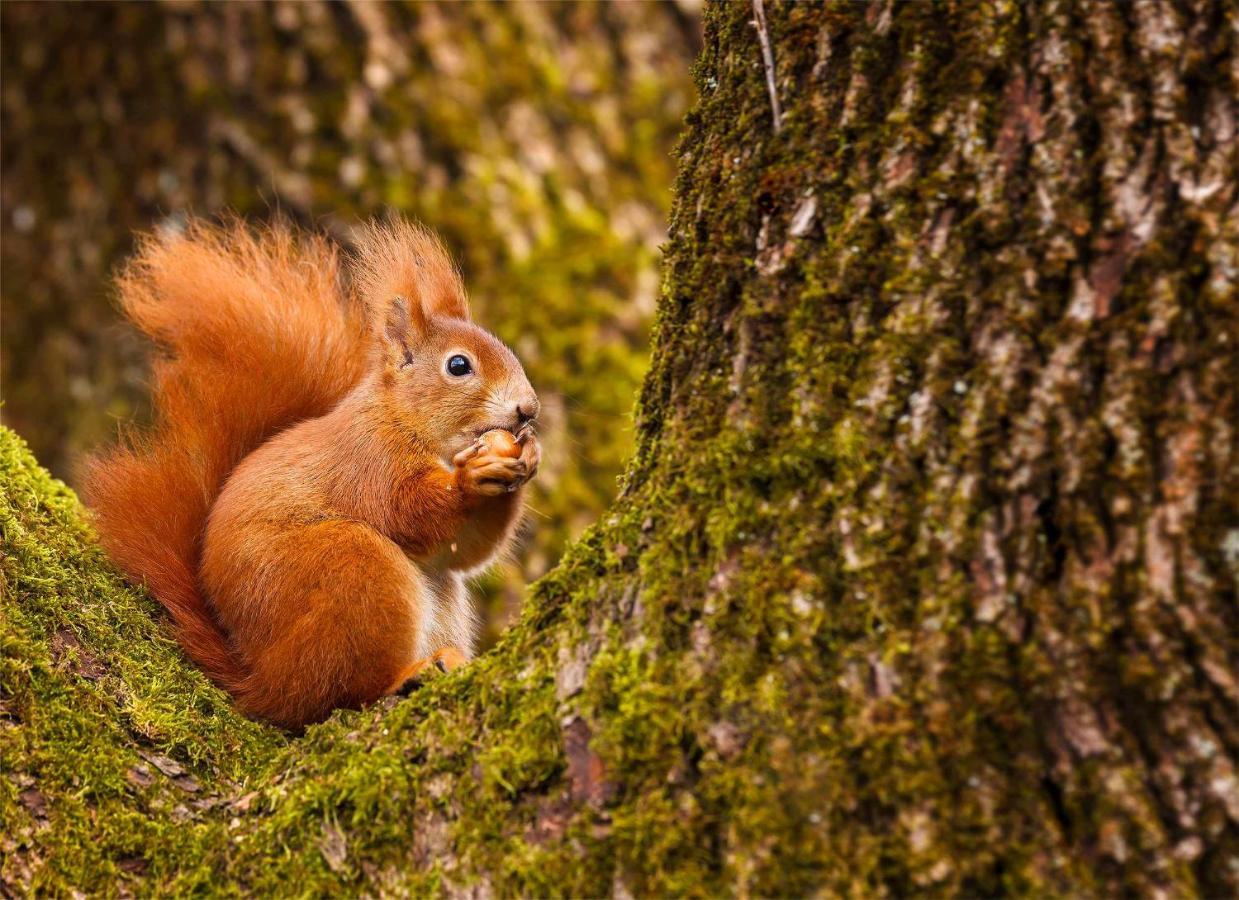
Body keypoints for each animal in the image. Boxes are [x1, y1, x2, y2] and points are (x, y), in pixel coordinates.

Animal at [81, 220, 537, 733]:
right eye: (458, 366)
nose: (528, 409)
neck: (407, 421)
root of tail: (261, 682)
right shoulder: (368, 460)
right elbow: (406, 512)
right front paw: (469, 479)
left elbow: (465, 550)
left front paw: (527, 457)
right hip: (350, 569)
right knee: (336, 696)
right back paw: (405, 675)